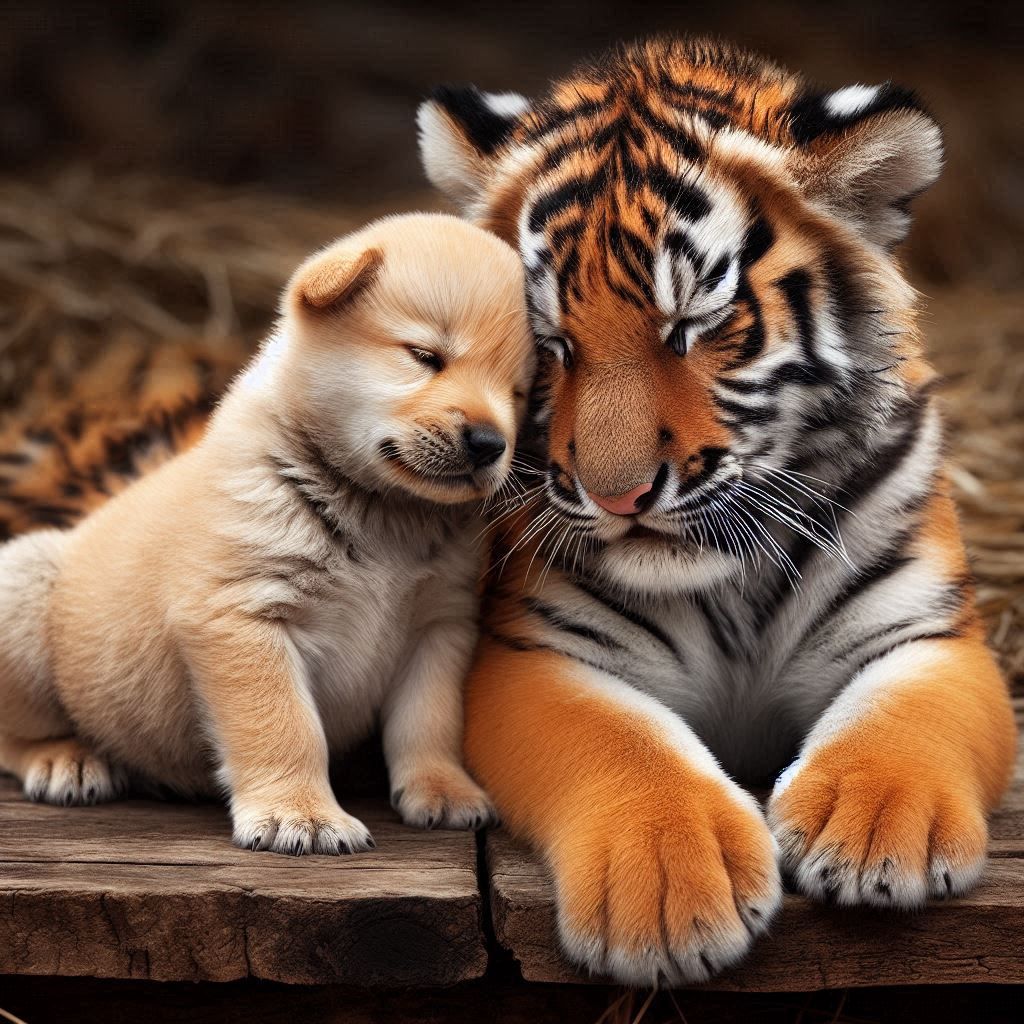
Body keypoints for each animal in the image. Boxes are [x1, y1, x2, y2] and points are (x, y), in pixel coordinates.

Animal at [414, 37, 1017, 984]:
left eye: (693, 324)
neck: (732, 578)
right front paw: (668, 890)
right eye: (549, 342)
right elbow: (622, 739)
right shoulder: (535, 652)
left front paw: (875, 830)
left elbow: (906, 714)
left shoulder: (930, 632)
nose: (616, 494)